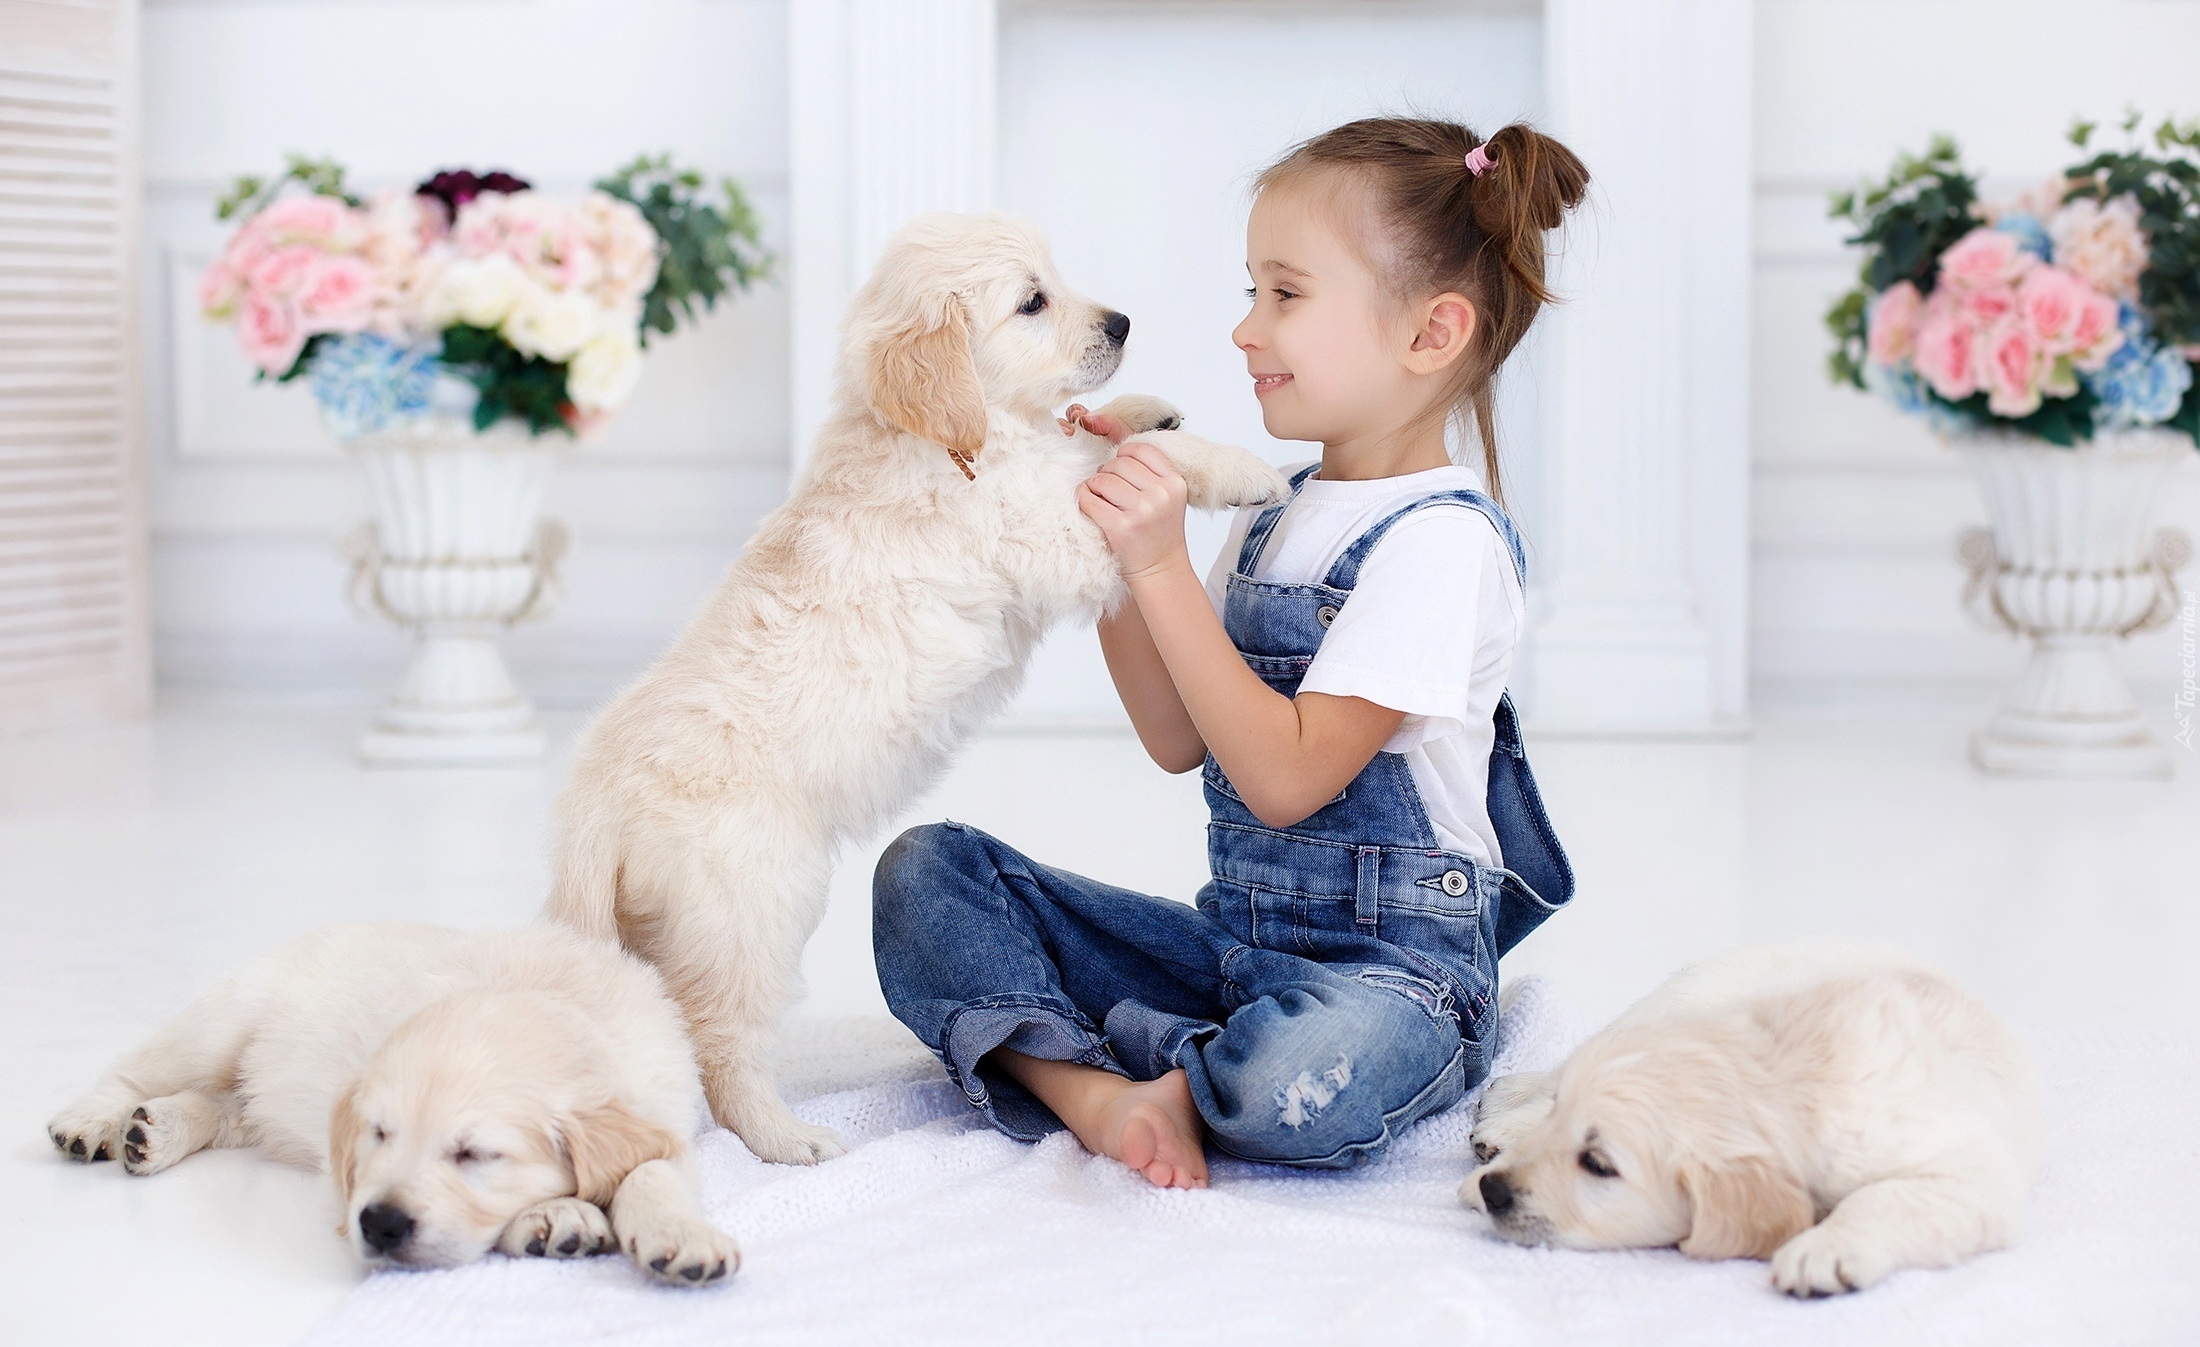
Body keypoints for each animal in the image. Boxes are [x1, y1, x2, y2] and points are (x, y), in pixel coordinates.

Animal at [47, 924, 734, 1285]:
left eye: (474, 1154)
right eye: (378, 1135)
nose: (378, 1224)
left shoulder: (665, 1114)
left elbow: (650, 1171)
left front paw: (678, 1234)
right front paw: (554, 1215)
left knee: (230, 1107)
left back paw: (154, 1131)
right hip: (223, 1021)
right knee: (137, 1069)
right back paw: (93, 1123)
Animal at [543, 213, 1284, 1170]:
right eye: (1032, 302)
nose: (1122, 324)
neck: (956, 435)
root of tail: (594, 804)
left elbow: (1090, 436)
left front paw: (1139, 409)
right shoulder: (1044, 533)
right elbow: (1119, 468)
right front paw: (1237, 466)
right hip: (752, 908)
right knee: (719, 1042)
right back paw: (788, 1140)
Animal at [1460, 942, 2041, 1302]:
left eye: (1598, 1164)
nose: (1495, 1191)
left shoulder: (1973, 1177)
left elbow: (1885, 1197)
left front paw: (1824, 1248)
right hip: (1684, 999)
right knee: (1567, 1067)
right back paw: (1505, 1120)